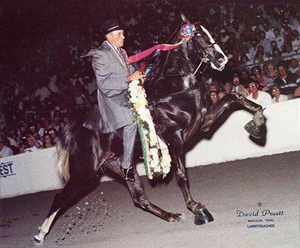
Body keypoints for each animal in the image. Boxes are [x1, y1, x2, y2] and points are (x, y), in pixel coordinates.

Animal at [34, 16, 266, 244]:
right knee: (61, 197)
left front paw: (256, 124)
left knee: (139, 199)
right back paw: (40, 234)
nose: (221, 59)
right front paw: (197, 209)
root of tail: (77, 130)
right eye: (198, 35)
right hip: (84, 171)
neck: (173, 88)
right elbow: (181, 174)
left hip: (120, 165)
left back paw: (172, 216)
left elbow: (234, 97)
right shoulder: (174, 136)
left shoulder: (204, 122)